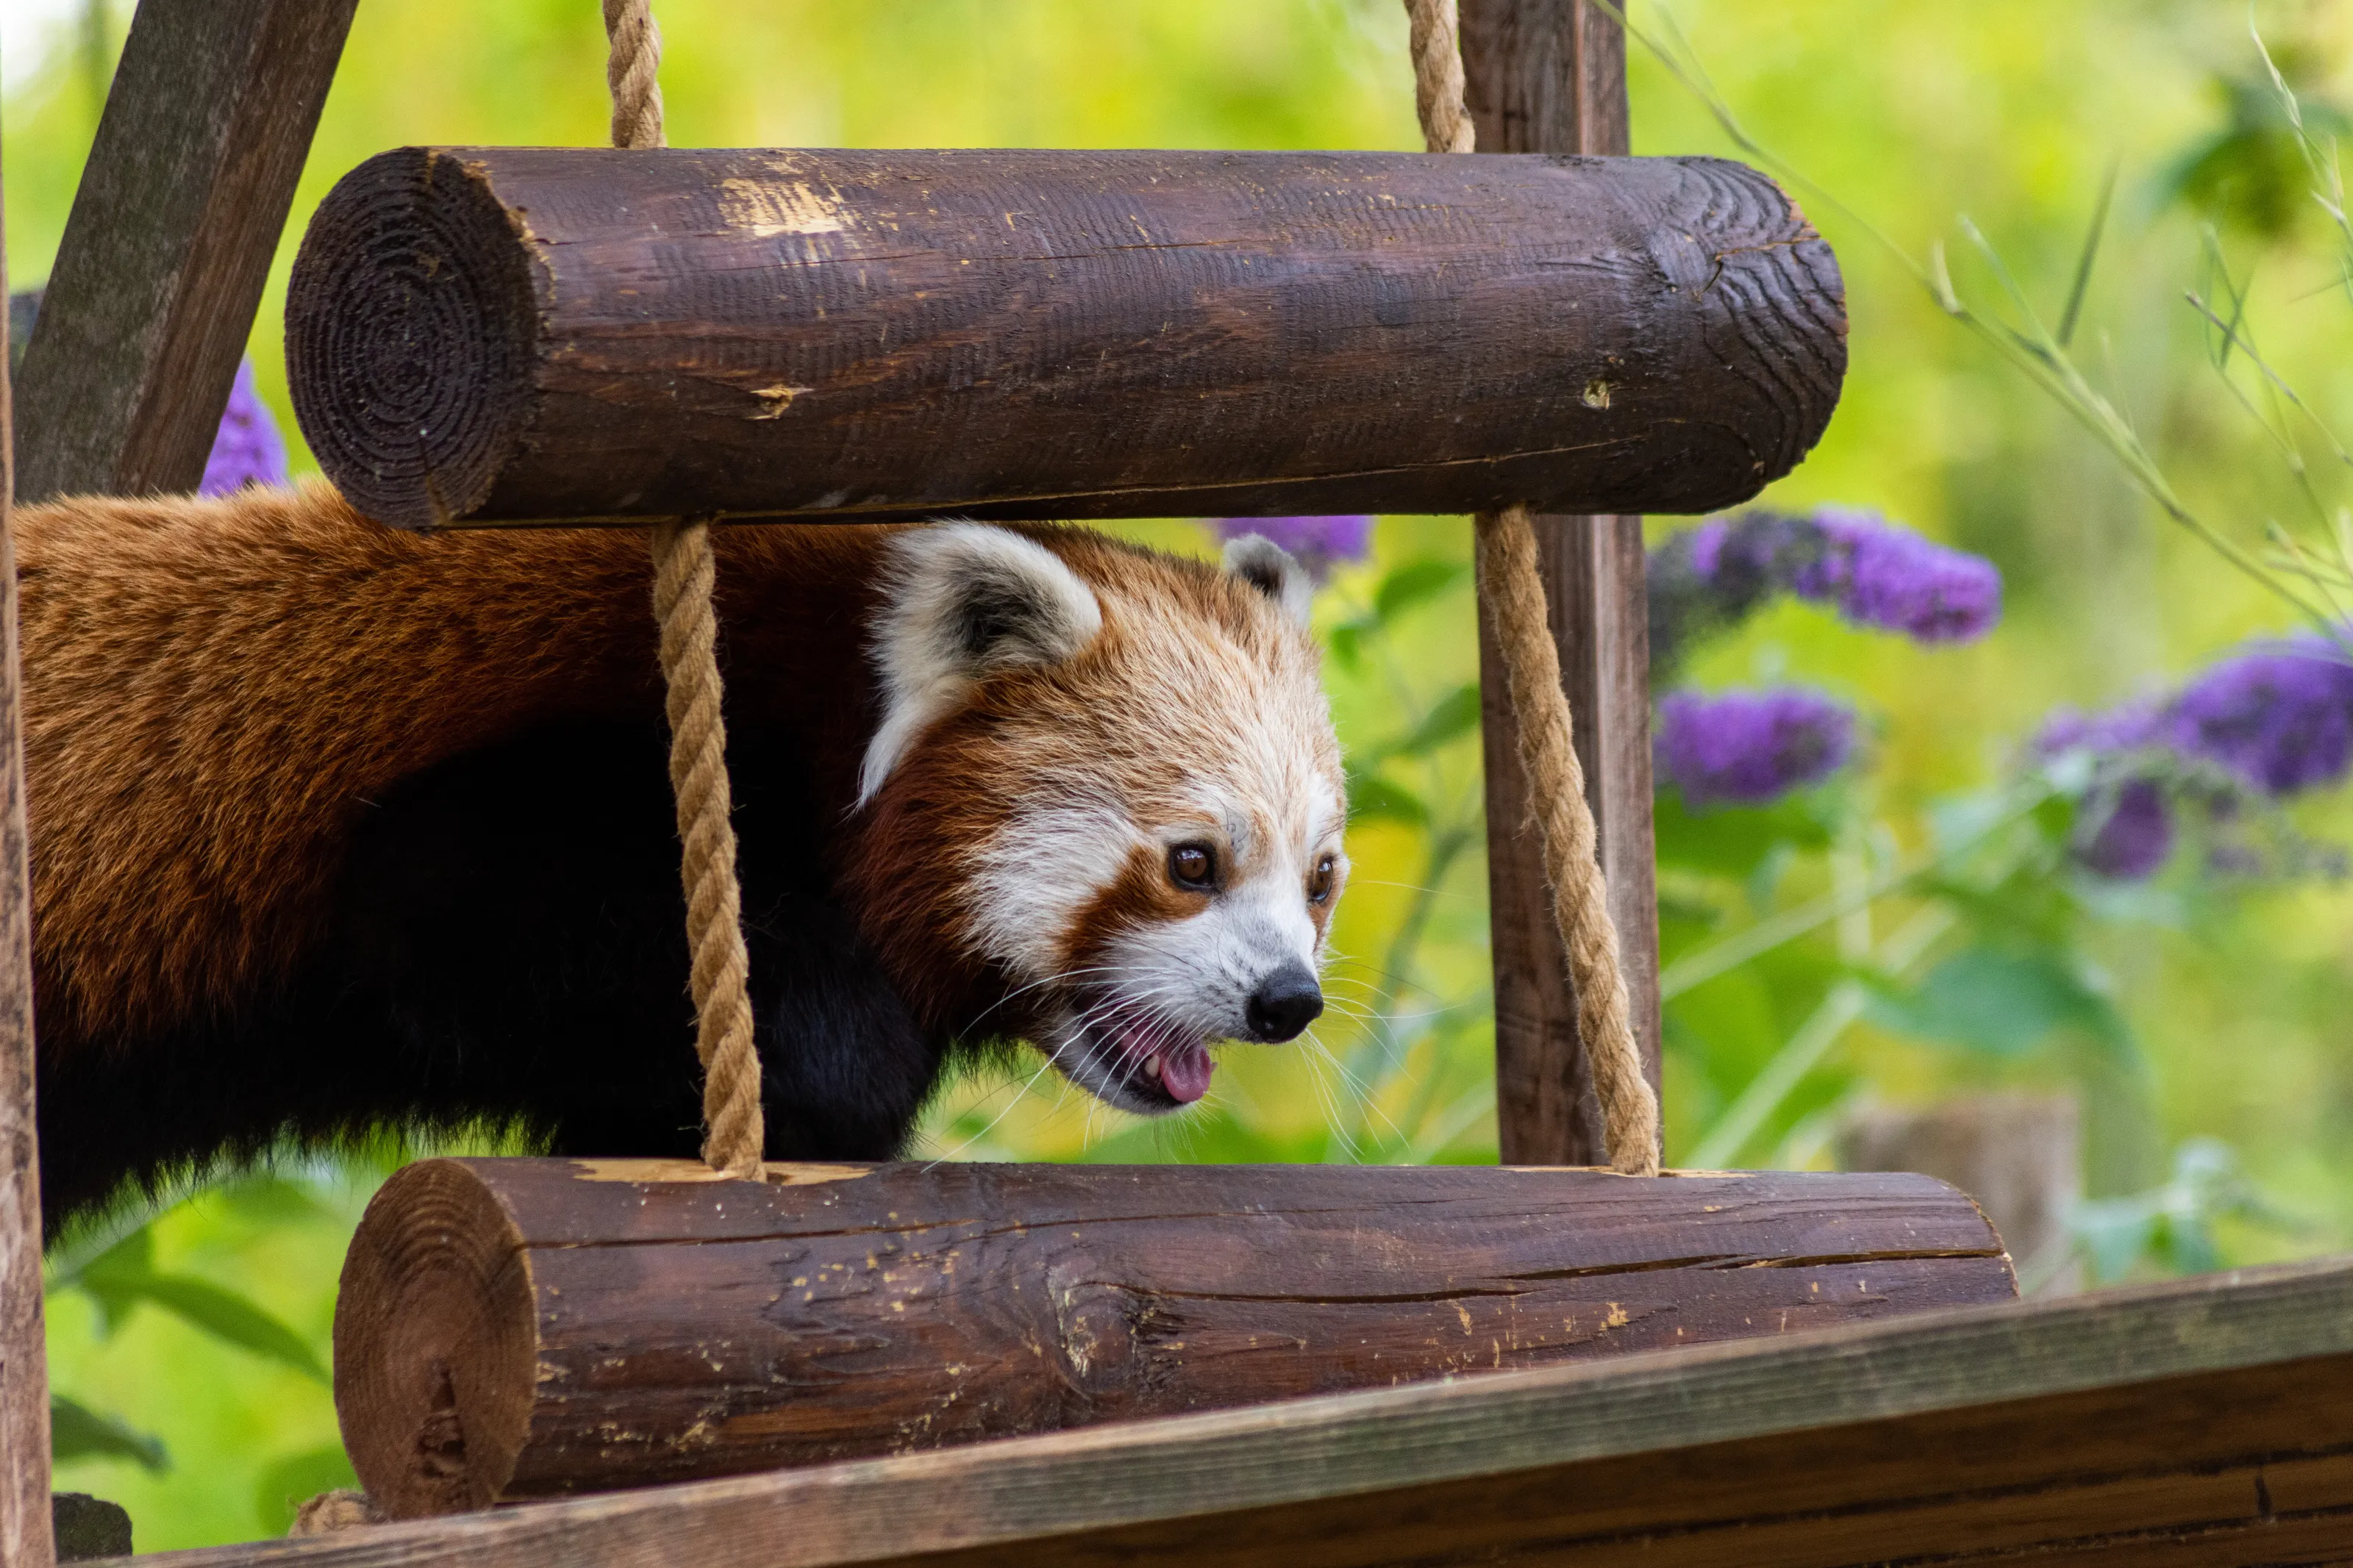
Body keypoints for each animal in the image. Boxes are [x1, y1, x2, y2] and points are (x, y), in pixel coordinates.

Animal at [18, 482, 1347, 1228]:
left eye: (1319, 877)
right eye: (1192, 863)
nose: (1288, 1000)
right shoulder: (531, 792)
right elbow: (452, 915)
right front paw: (833, 1077)